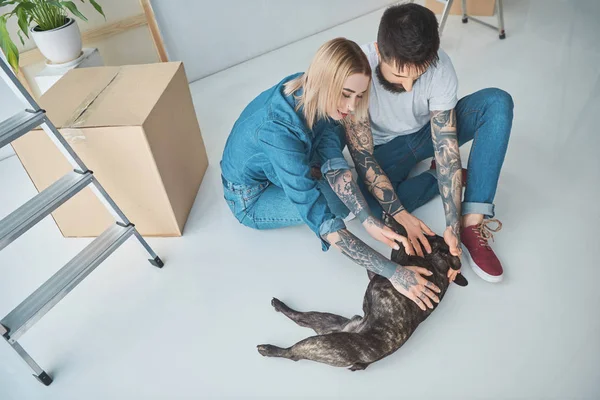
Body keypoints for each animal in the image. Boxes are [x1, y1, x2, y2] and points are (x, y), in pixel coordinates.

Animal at [255, 214, 466, 370]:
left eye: (432, 237)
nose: (425, 232)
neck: (439, 266)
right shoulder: (382, 270)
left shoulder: (398, 262)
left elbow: (401, 240)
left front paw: (394, 223)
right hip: (326, 321)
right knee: (300, 318)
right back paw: (279, 306)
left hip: (324, 344)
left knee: (293, 353)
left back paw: (268, 349)